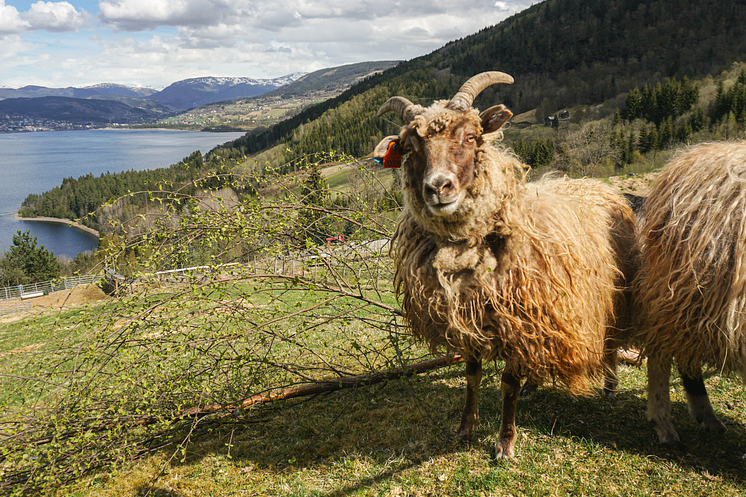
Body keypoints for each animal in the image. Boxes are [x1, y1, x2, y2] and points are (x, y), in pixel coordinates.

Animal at [374, 71, 636, 460]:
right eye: (408, 148)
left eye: (471, 136)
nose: (438, 187)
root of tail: (594, 184)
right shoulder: (470, 317)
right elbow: (472, 374)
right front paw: (465, 427)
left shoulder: (516, 316)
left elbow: (507, 383)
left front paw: (505, 442)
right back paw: (535, 384)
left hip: (609, 296)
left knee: (611, 341)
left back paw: (609, 384)